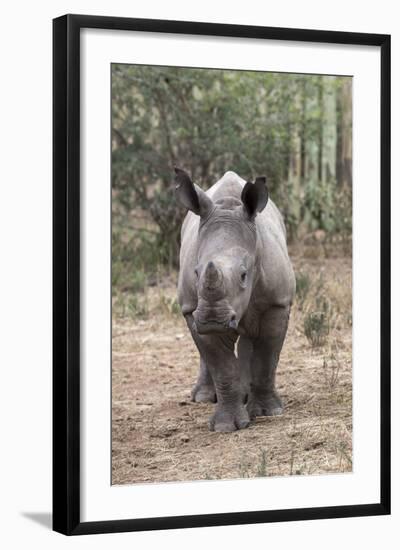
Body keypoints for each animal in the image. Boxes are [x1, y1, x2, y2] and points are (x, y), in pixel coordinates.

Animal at [174, 166, 294, 434]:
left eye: (243, 275)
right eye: (196, 272)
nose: (213, 319)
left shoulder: (277, 302)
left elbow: (266, 356)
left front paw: (268, 412)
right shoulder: (192, 308)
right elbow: (221, 366)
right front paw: (226, 426)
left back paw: (247, 395)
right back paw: (204, 398)